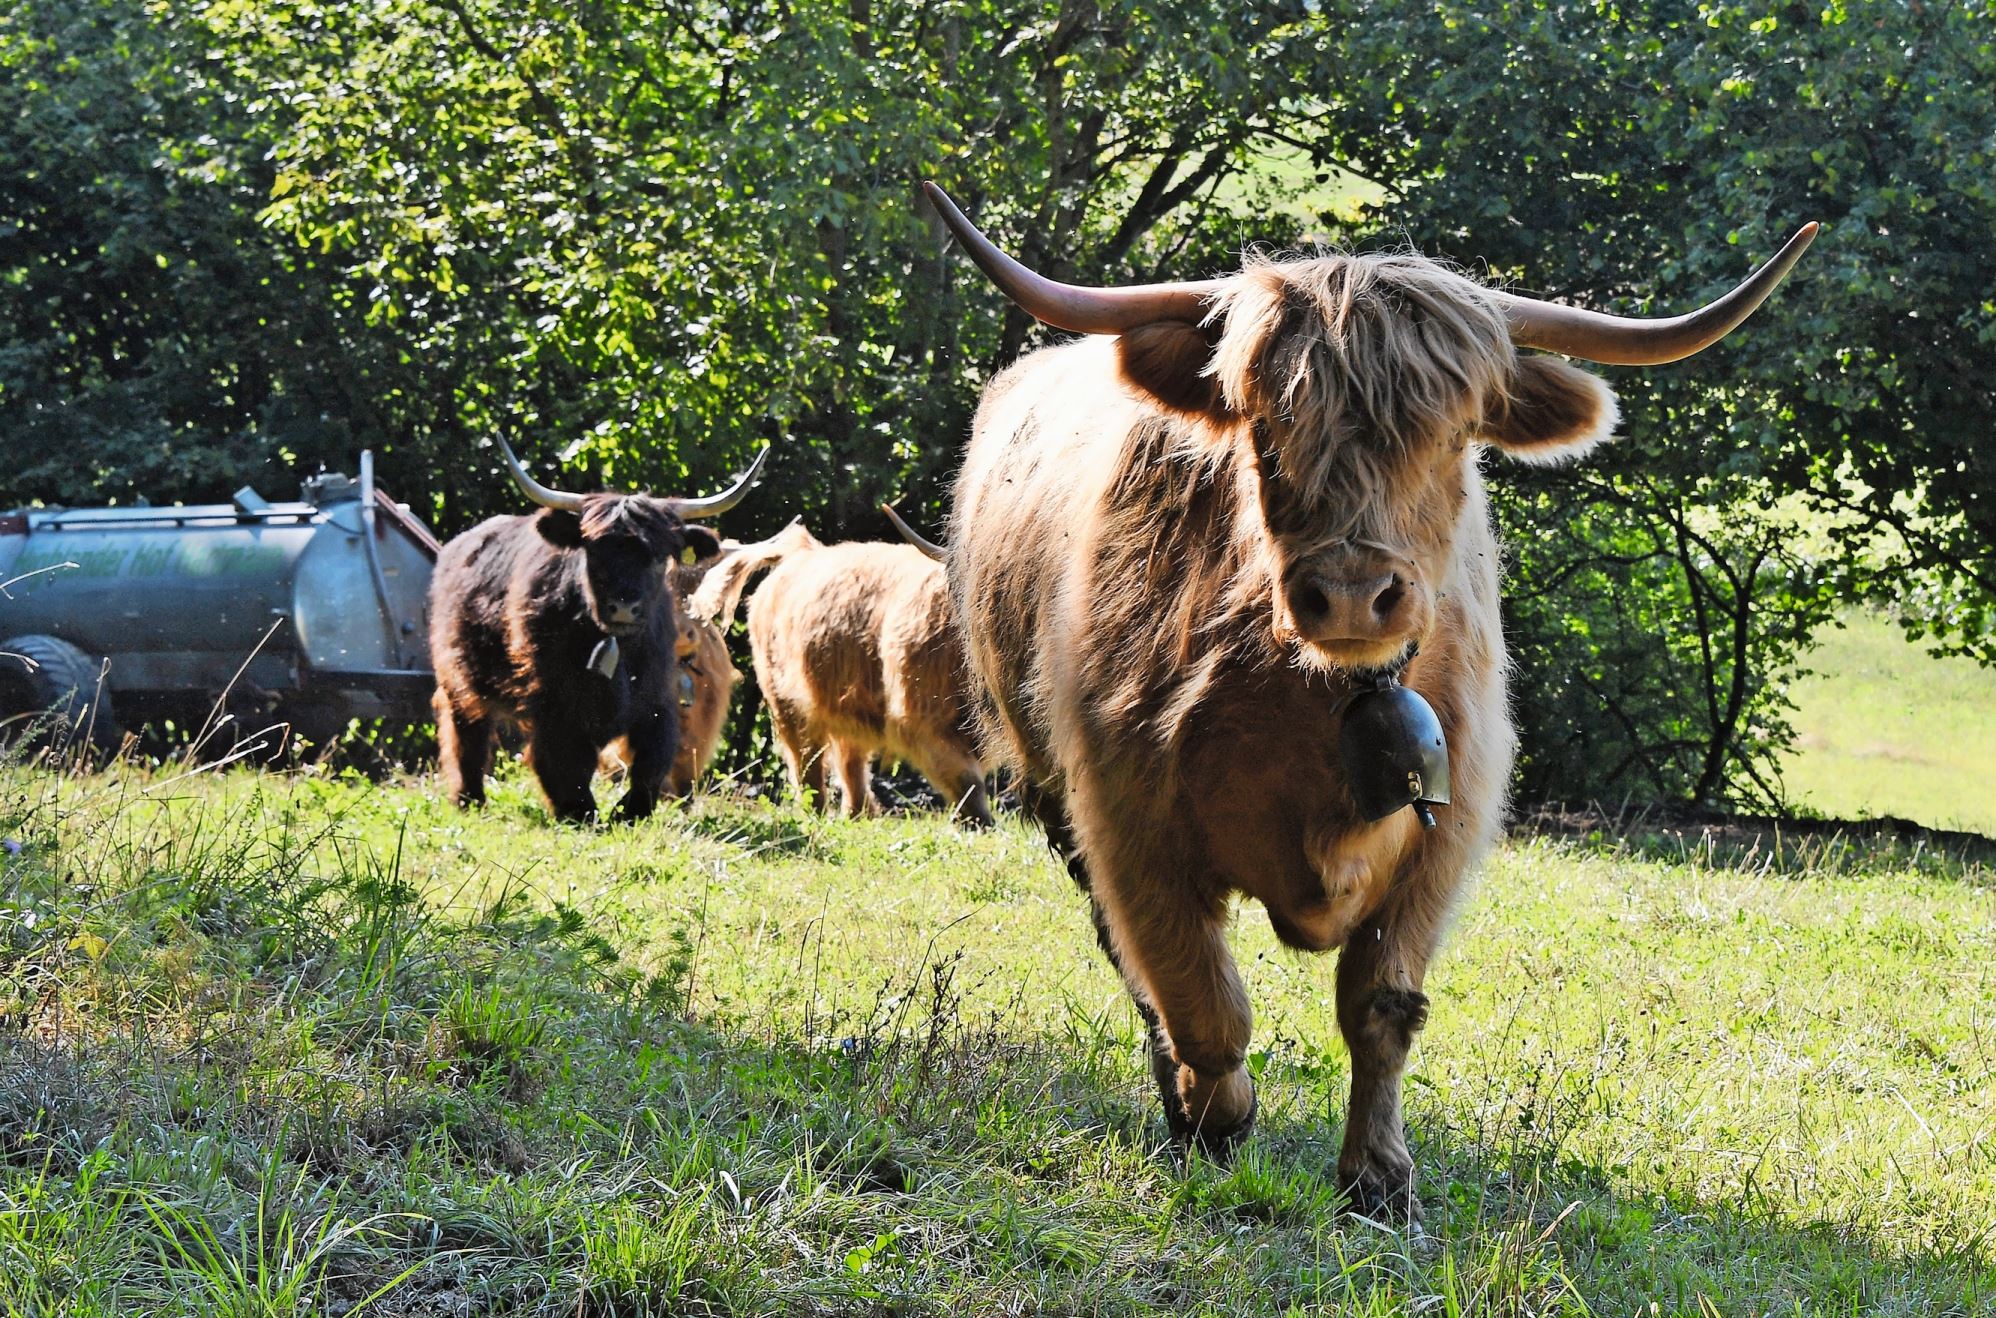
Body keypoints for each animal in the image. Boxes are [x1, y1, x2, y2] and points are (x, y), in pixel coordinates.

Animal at [433, 447, 766, 830]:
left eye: (658, 557)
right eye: (593, 552)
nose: (623, 607)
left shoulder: (658, 697)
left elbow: (654, 759)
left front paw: (629, 811)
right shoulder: (554, 702)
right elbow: (565, 761)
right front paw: (578, 811)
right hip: (458, 680)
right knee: (465, 737)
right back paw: (469, 799)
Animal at [926, 179, 1820, 1222]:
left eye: (1453, 432)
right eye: (1265, 425)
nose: (1352, 593)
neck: (1315, 705)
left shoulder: (1448, 824)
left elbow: (1381, 1007)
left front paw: (1379, 1178)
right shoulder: (1126, 813)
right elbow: (1199, 993)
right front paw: (1214, 1123)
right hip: (1047, 791)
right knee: (1138, 969)